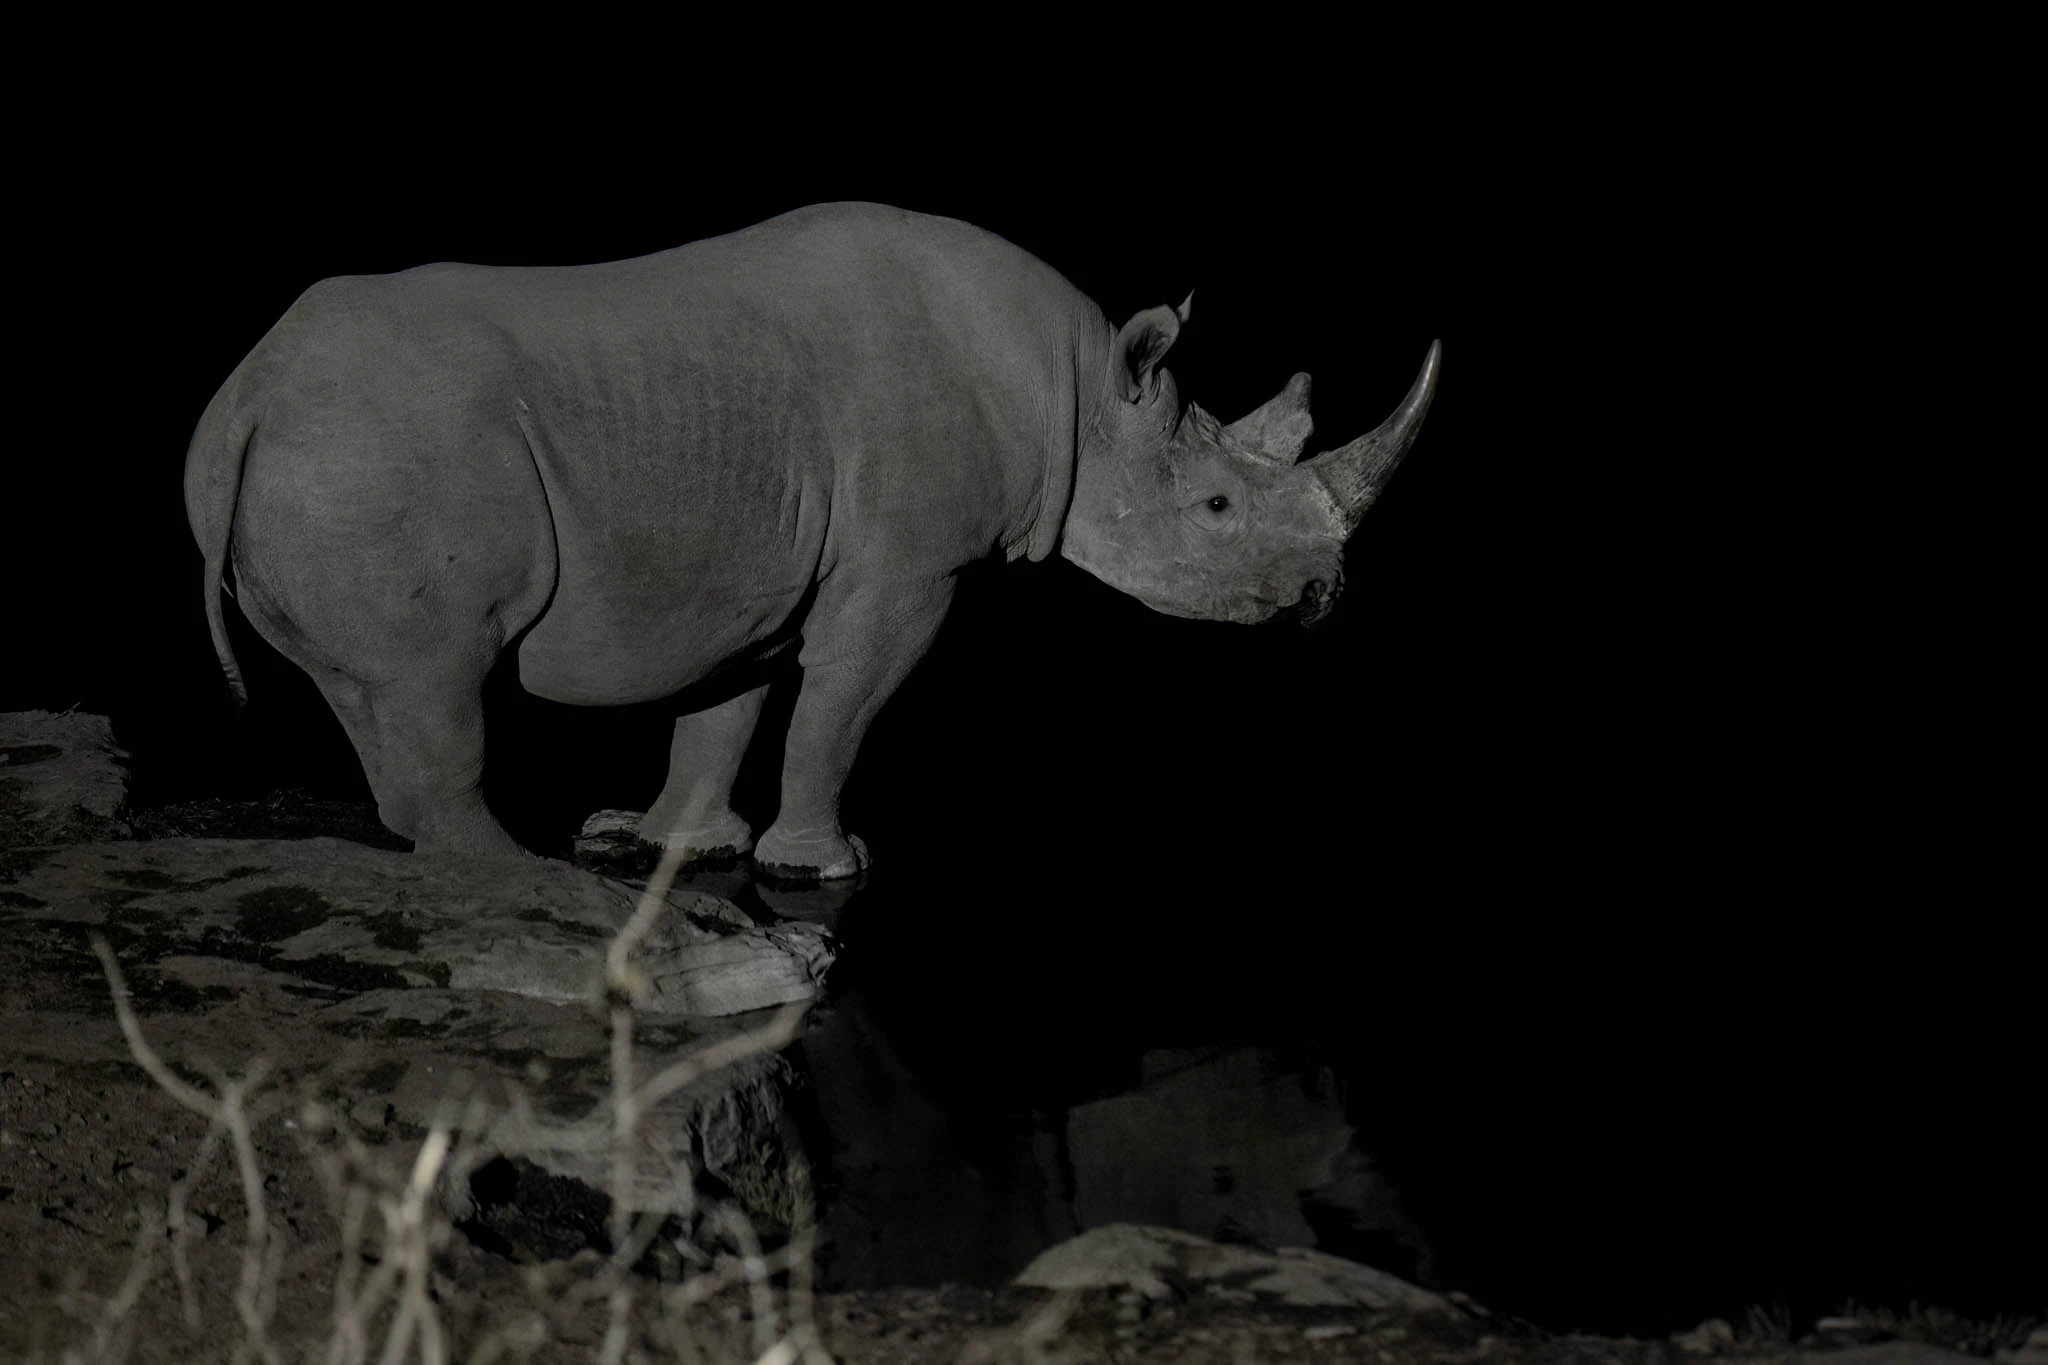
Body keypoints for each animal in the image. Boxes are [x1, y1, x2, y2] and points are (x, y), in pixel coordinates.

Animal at [185, 202, 1437, 878]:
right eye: (1219, 511)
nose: (1322, 594)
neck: (1081, 394)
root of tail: (249, 393)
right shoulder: (908, 568)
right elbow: (842, 705)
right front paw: (822, 862)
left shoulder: (749, 567)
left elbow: (721, 706)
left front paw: (676, 845)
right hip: (383, 451)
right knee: (437, 668)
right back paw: (515, 873)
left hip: (307, 466)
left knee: (376, 682)